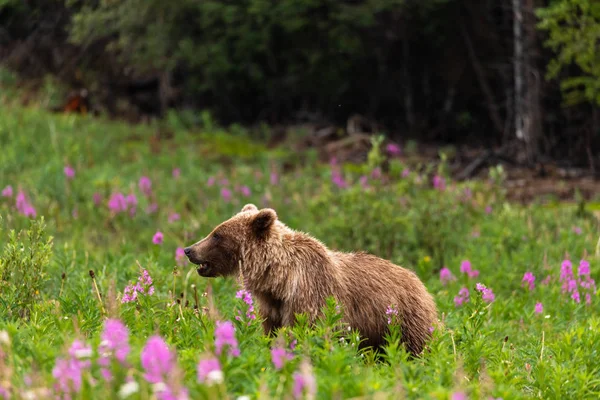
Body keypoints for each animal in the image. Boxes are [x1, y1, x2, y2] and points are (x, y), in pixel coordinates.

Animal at [185, 205, 438, 354]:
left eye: (217, 234)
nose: (189, 250)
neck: (279, 279)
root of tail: (422, 283)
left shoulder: (309, 295)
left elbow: (305, 330)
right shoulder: (272, 306)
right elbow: (271, 331)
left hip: (403, 319)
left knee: (416, 345)